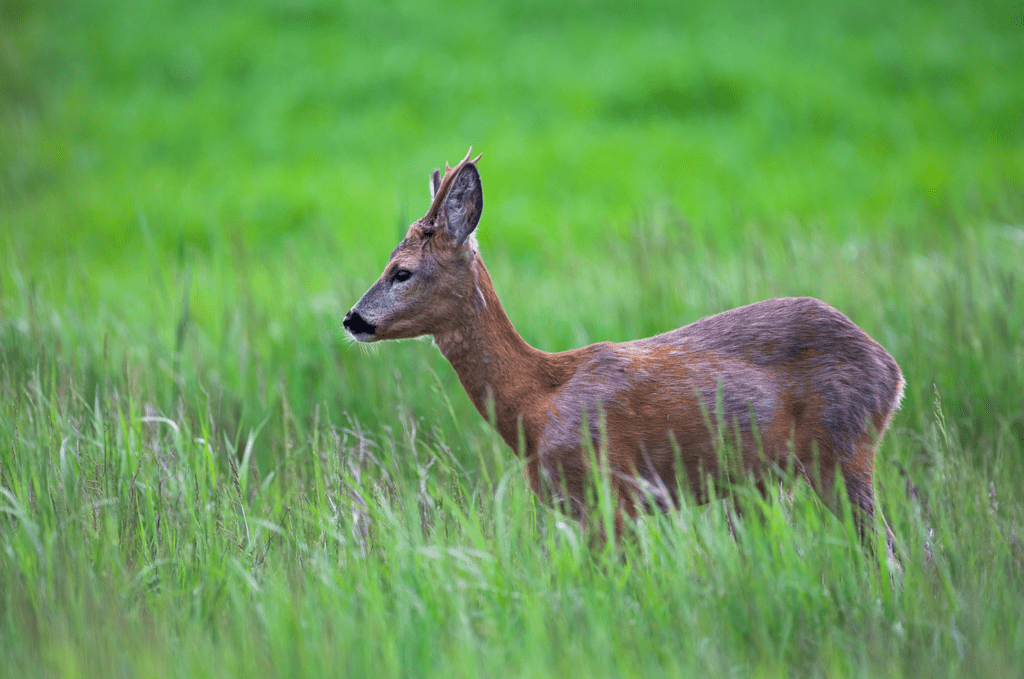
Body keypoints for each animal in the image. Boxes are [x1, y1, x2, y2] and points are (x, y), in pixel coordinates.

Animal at [346, 147, 905, 553]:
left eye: (401, 272)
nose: (352, 319)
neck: (536, 404)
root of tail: (892, 371)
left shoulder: (610, 494)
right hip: (772, 478)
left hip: (843, 446)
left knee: (888, 549)